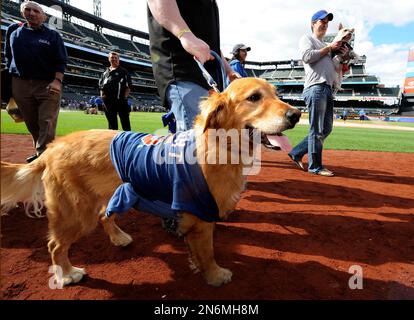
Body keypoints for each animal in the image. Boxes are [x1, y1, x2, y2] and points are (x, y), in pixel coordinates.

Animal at [0, 77, 298, 288]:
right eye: (254, 98)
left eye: (277, 94)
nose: (296, 114)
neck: (218, 147)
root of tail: (52, 146)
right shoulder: (201, 216)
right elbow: (208, 252)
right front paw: (215, 275)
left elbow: (198, 251)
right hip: (75, 212)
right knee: (55, 246)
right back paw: (66, 274)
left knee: (104, 215)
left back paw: (119, 238)